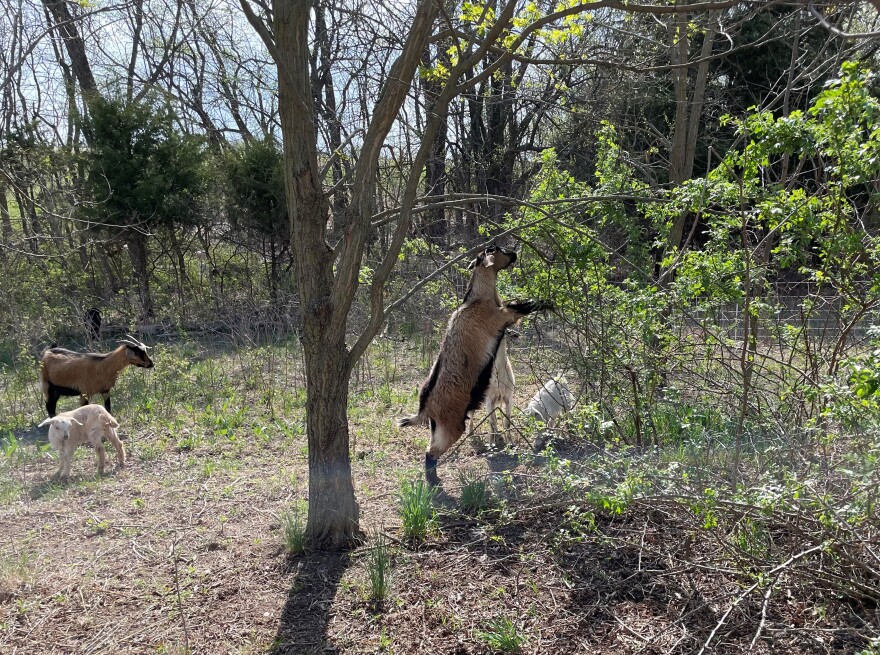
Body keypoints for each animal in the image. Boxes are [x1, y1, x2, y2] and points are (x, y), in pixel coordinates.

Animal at [398, 247, 552, 486]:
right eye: (496, 250)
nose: (514, 253)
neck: (478, 299)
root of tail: (424, 407)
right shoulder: (503, 315)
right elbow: (523, 306)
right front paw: (548, 302)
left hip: (438, 427)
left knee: (430, 448)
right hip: (452, 426)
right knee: (431, 453)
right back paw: (435, 482)